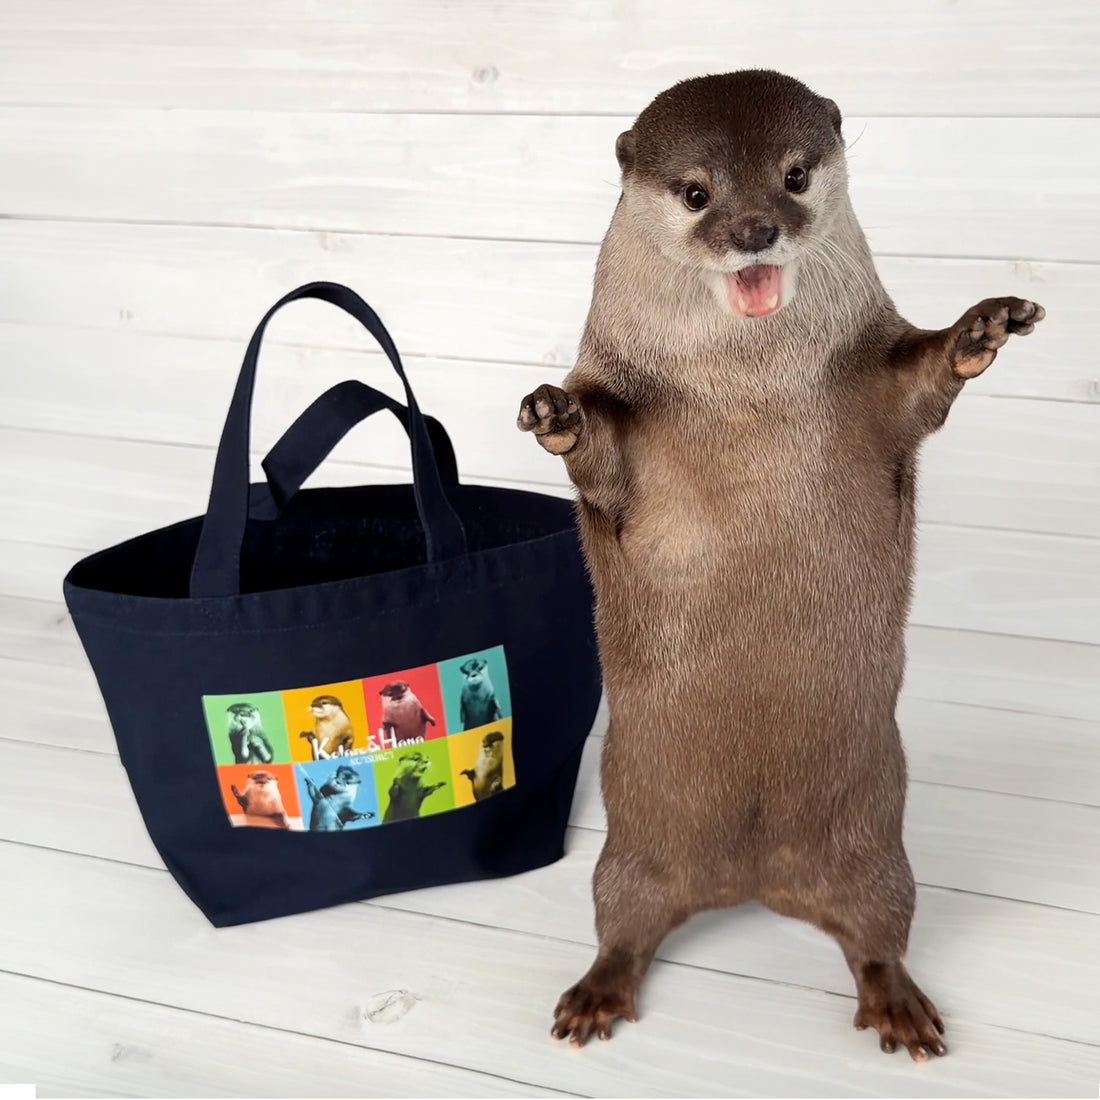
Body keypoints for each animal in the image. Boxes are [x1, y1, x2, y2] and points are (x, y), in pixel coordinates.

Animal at [517, 70, 1043, 1061]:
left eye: (795, 175)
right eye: (695, 193)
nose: (755, 227)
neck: (745, 384)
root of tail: (753, 879)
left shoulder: (876, 378)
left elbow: (919, 381)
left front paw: (980, 330)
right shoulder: (623, 412)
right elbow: (598, 454)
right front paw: (554, 412)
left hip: (879, 851)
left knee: (877, 933)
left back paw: (898, 1004)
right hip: (626, 854)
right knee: (622, 924)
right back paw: (595, 993)